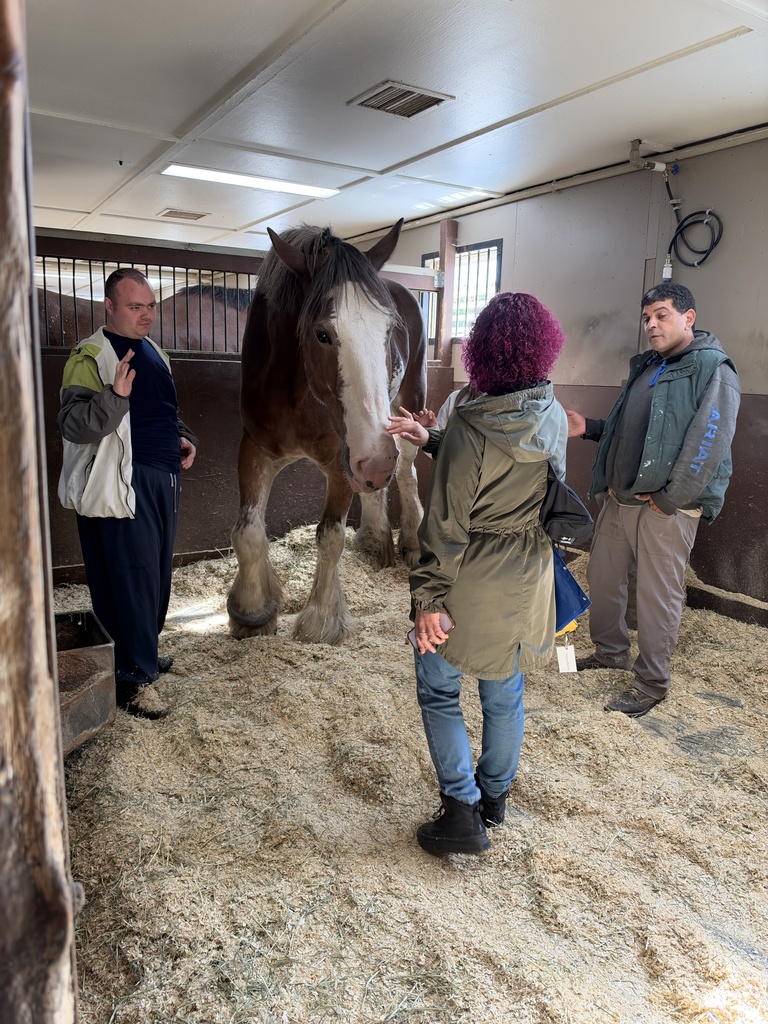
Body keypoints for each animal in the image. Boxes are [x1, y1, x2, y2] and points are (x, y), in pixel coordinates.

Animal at [226, 218, 427, 645]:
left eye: (389, 331)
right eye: (322, 334)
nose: (375, 461)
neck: (294, 394)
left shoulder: (342, 461)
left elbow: (330, 537)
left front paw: (321, 621)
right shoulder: (255, 450)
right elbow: (248, 532)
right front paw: (252, 612)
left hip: (405, 411)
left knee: (405, 473)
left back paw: (412, 541)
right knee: (381, 482)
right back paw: (376, 541)